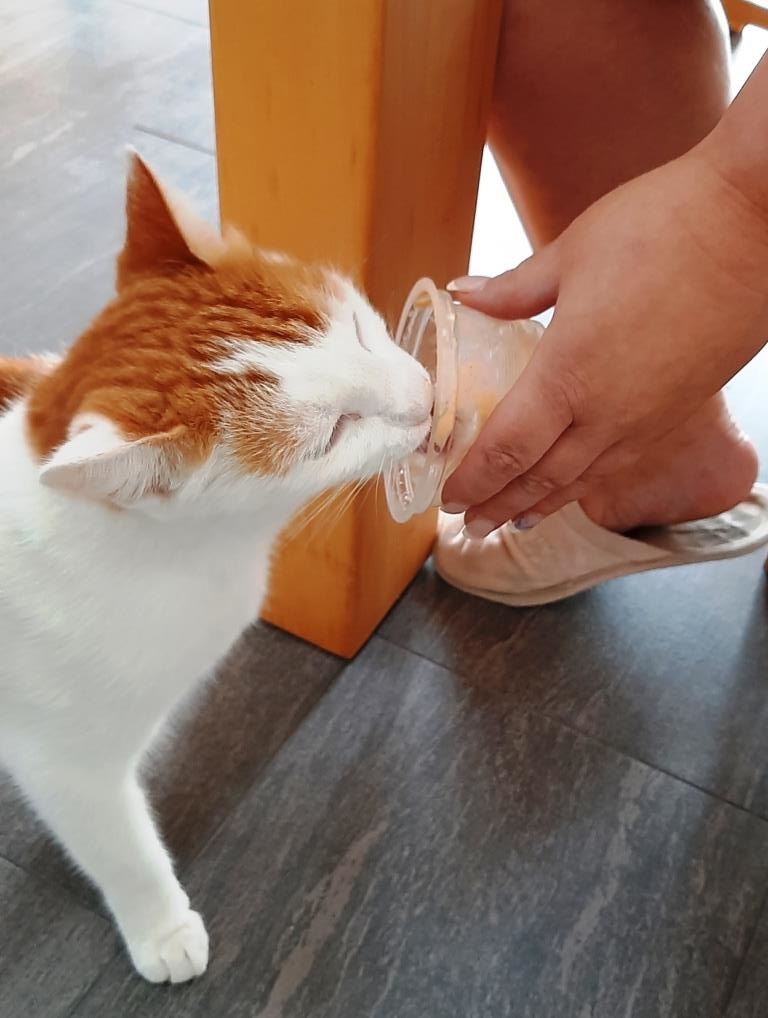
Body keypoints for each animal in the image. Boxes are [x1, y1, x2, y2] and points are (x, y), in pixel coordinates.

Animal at [0, 153, 432, 984]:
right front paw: (161, 927)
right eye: (334, 433)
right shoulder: (64, 761)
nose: (428, 397)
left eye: (362, 332)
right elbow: (122, 848)